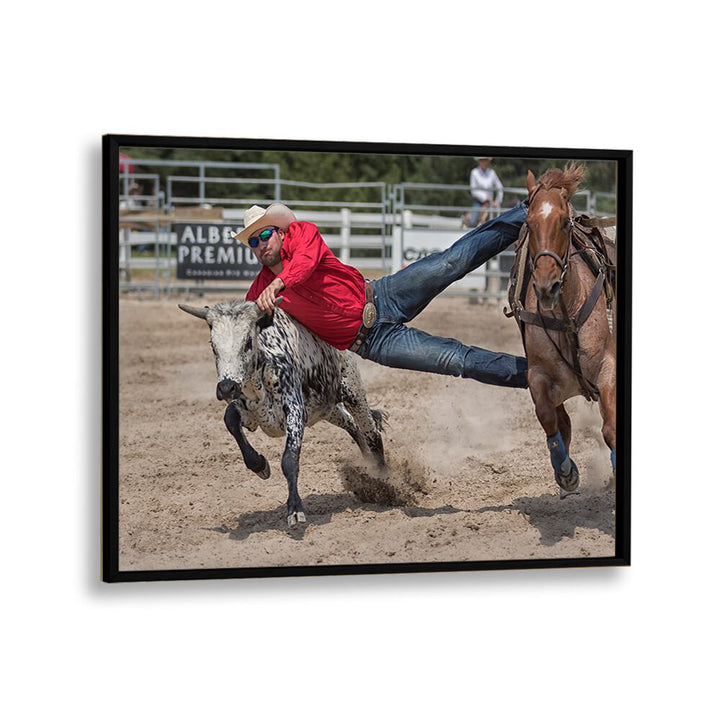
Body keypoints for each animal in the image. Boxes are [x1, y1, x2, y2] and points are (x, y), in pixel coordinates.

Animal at [512, 165, 612, 496]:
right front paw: (566, 471)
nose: (547, 286)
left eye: (565, 223)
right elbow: (549, 418)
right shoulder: (539, 375)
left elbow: (610, 428)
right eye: (529, 224)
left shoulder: (608, 366)